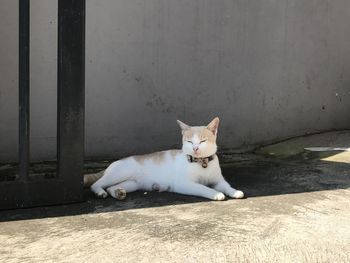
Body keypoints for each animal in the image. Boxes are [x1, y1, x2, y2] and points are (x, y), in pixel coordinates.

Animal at [86, 118, 243, 202]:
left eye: (203, 141)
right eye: (189, 142)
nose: (195, 148)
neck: (202, 162)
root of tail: (115, 162)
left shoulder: (218, 181)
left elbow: (226, 186)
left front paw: (234, 191)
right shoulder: (184, 184)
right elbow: (203, 187)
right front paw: (216, 194)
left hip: (132, 183)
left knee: (111, 187)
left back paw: (118, 193)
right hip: (120, 173)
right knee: (96, 184)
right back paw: (100, 192)